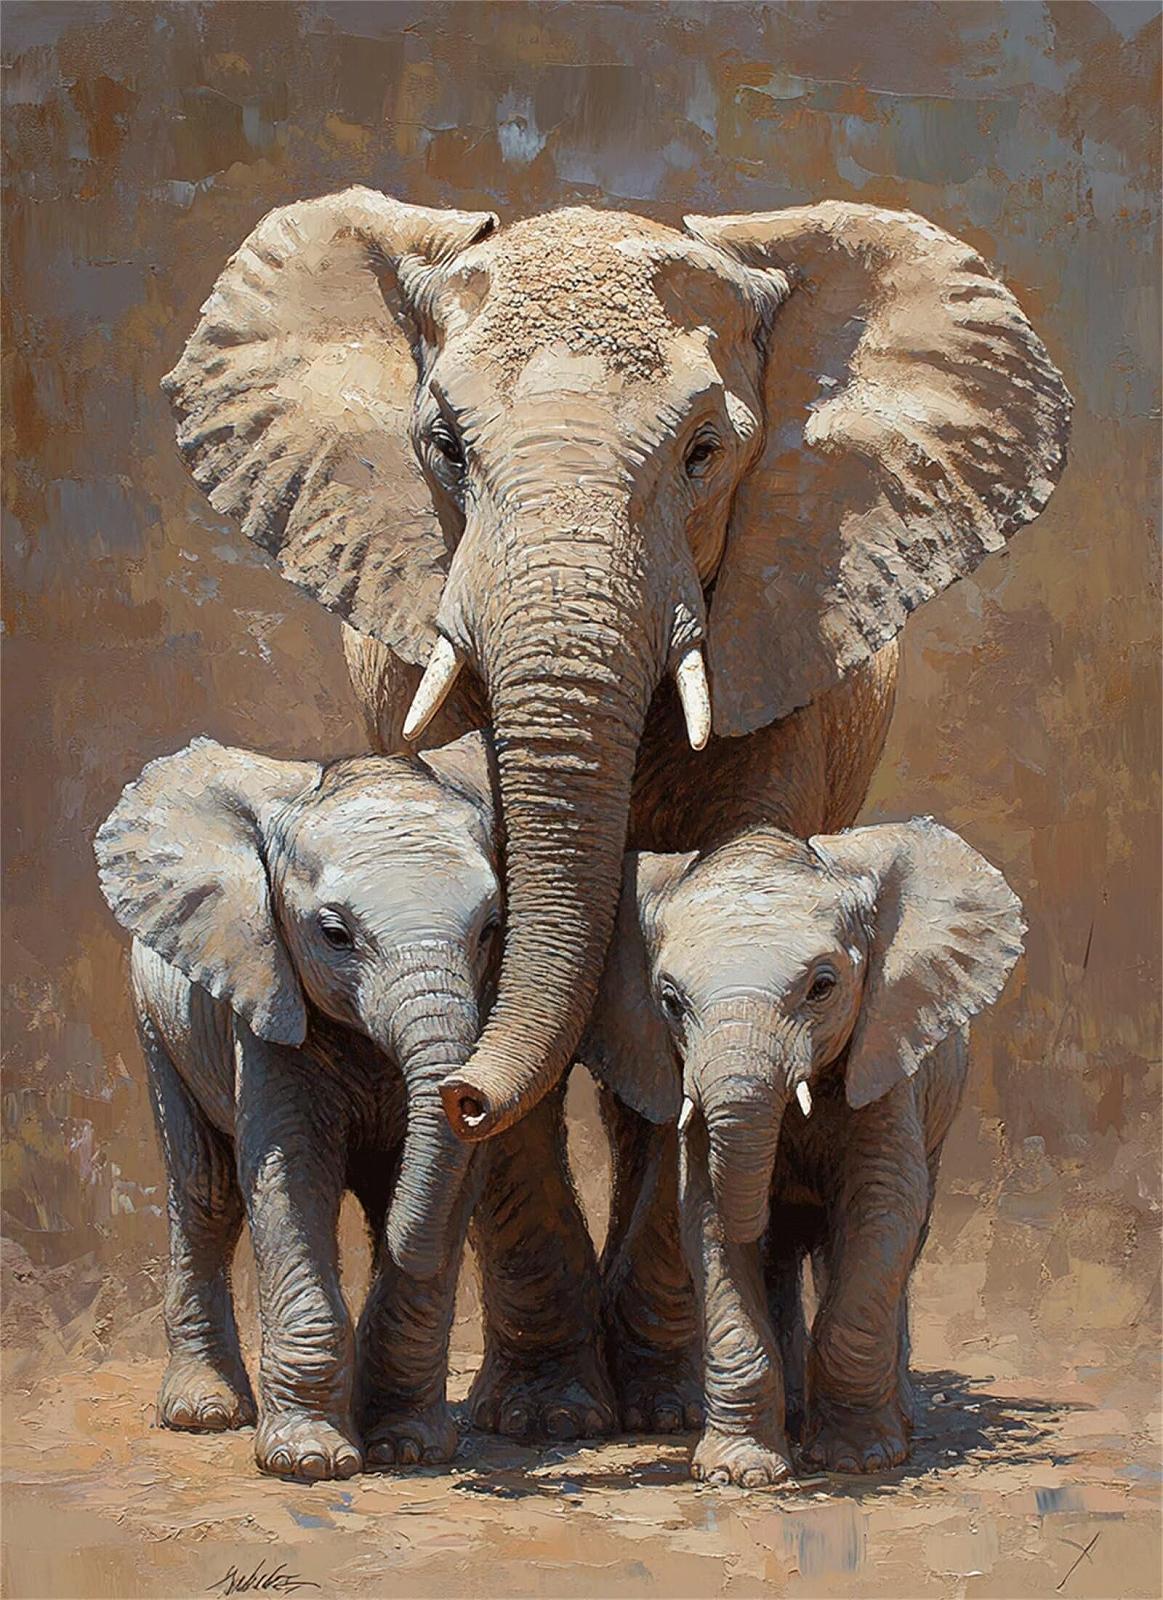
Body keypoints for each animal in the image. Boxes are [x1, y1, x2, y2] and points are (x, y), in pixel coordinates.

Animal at [94, 731, 504, 1478]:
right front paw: (307, 1461)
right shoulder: (263, 998)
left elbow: (457, 1177)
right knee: (206, 1191)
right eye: (334, 934)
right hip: (155, 1016)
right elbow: (291, 1174)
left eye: (490, 929)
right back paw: (202, 1414)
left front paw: (407, 1447)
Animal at [584, 818, 1024, 1485]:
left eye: (822, 987)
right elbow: (707, 1217)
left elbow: (881, 1211)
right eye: (670, 1001)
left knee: (903, 1239)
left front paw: (859, 1459)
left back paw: (898, 1421)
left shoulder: (886, 1063)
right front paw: (738, 1474)